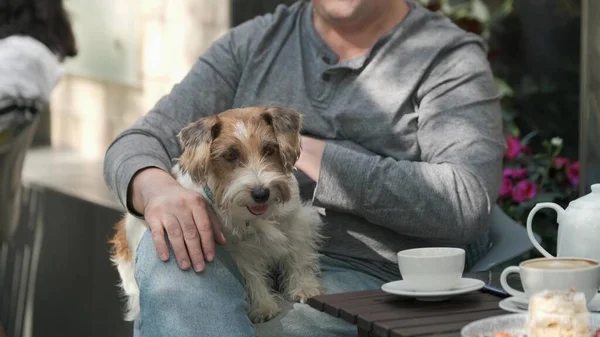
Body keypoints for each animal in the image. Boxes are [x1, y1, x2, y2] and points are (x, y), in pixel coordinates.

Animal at [108, 107, 324, 322]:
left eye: (270, 150)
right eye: (231, 155)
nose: (261, 193)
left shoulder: (296, 221)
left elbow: (299, 256)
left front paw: (304, 287)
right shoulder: (239, 250)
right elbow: (252, 276)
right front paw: (263, 305)